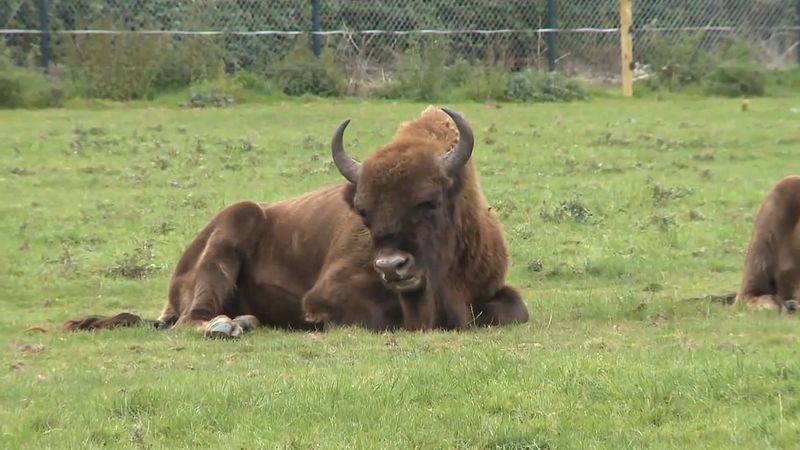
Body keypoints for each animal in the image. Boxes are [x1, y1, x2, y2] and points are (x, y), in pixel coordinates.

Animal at [65, 106, 528, 338]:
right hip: (231, 230)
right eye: (363, 211)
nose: (391, 266)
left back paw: (245, 321)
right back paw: (227, 326)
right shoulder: (327, 294)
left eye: (429, 201)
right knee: (188, 321)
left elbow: (514, 310)